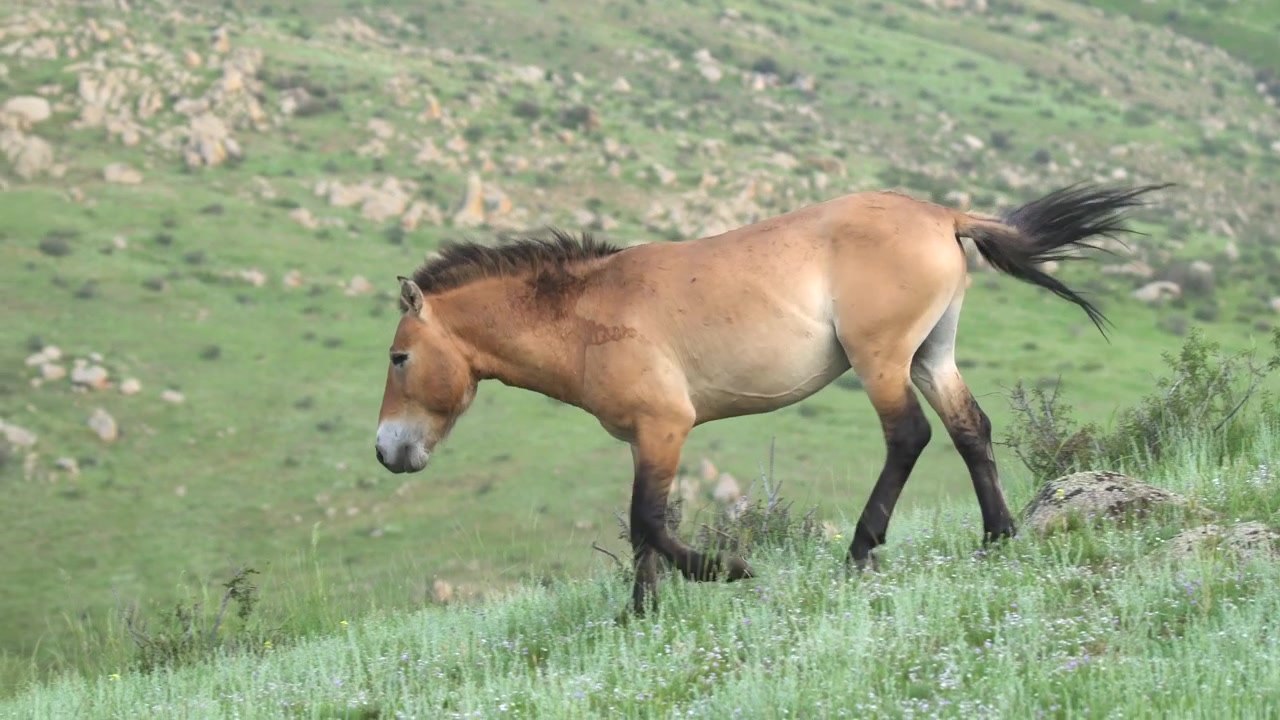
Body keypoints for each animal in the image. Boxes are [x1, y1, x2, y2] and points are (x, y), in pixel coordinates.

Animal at [374, 182, 1169, 615]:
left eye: (399, 357)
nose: (387, 450)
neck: (589, 312)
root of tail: (942, 215)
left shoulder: (667, 427)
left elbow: (650, 523)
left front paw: (729, 571)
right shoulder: (644, 440)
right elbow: (643, 533)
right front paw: (639, 618)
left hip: (881, 361)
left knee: (908, 438)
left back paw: (860, 551)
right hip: (930, 355)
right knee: (971, 427)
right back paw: (997, 536)